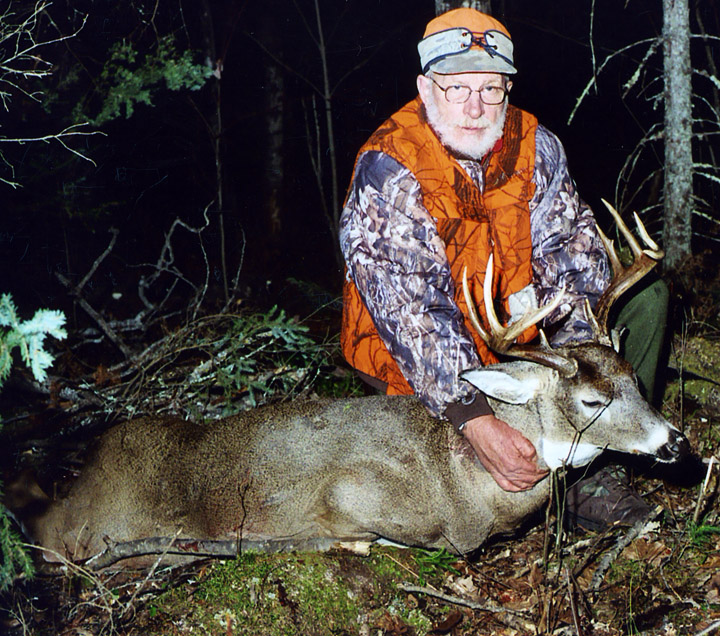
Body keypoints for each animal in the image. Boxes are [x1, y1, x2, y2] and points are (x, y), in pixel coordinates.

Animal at [16, 201, 688, 568]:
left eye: (633, 377)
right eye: (592, 400)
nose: (676, 443)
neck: (468, 479)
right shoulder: (351, 491)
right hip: (90, 523)